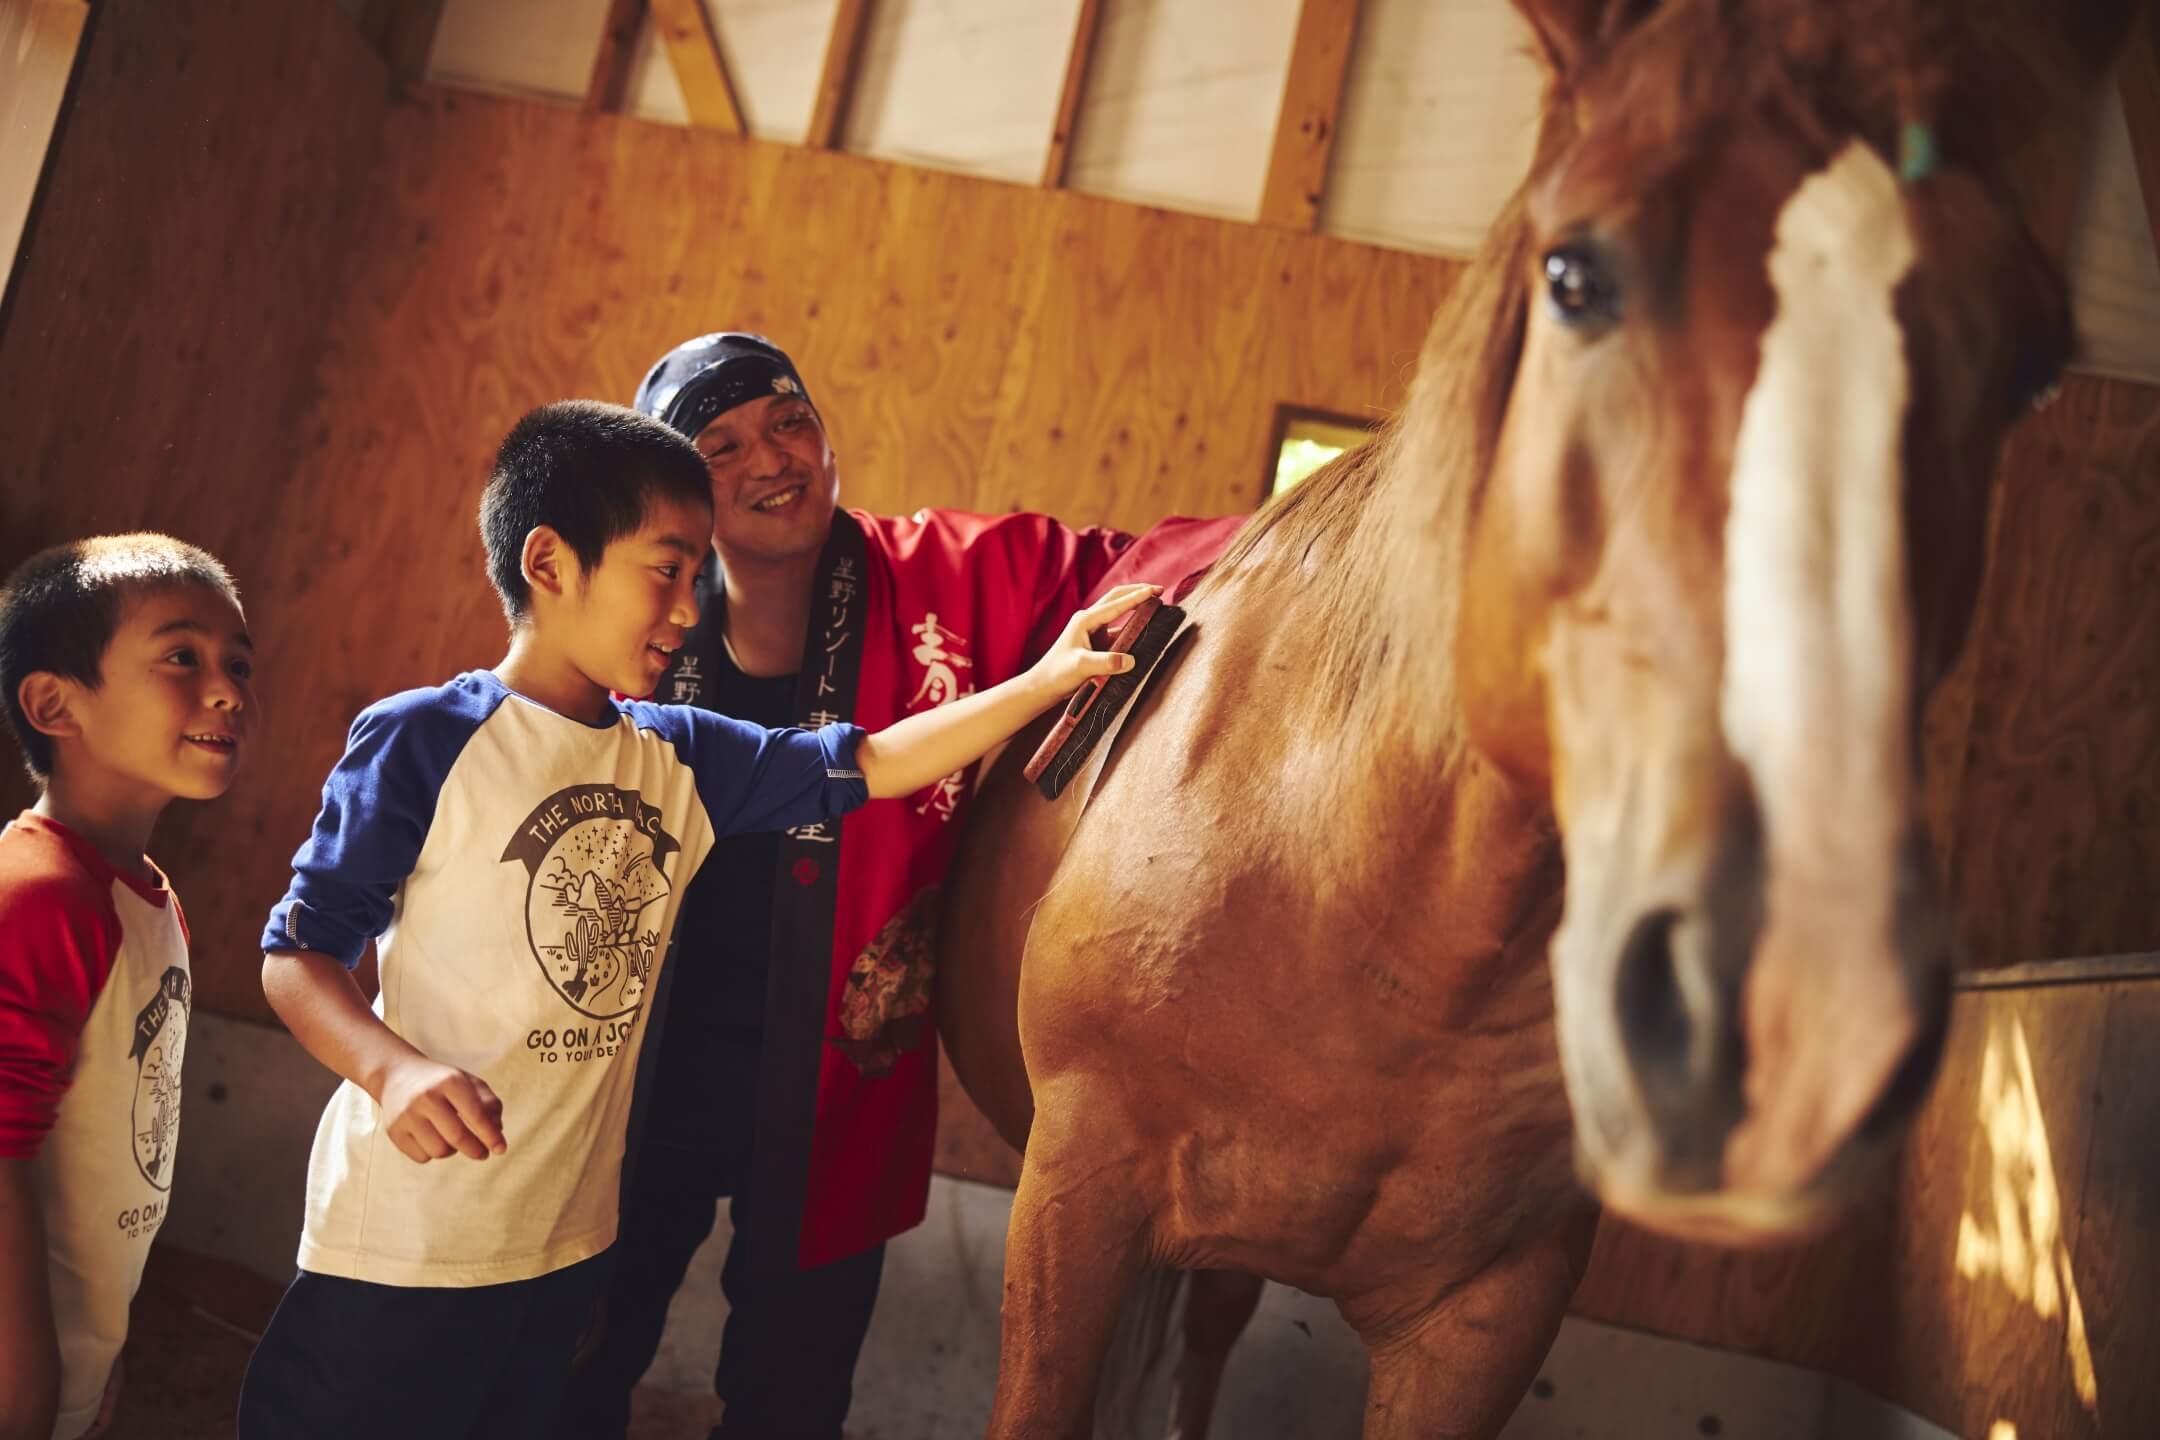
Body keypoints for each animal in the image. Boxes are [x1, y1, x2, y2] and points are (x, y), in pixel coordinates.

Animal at [937, 1, 2138, 1435]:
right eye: (1575, 278)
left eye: (2030, 363)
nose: (1797, 992)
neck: (1374, 909)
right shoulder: (1075, 1202)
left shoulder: (1489, 1319)